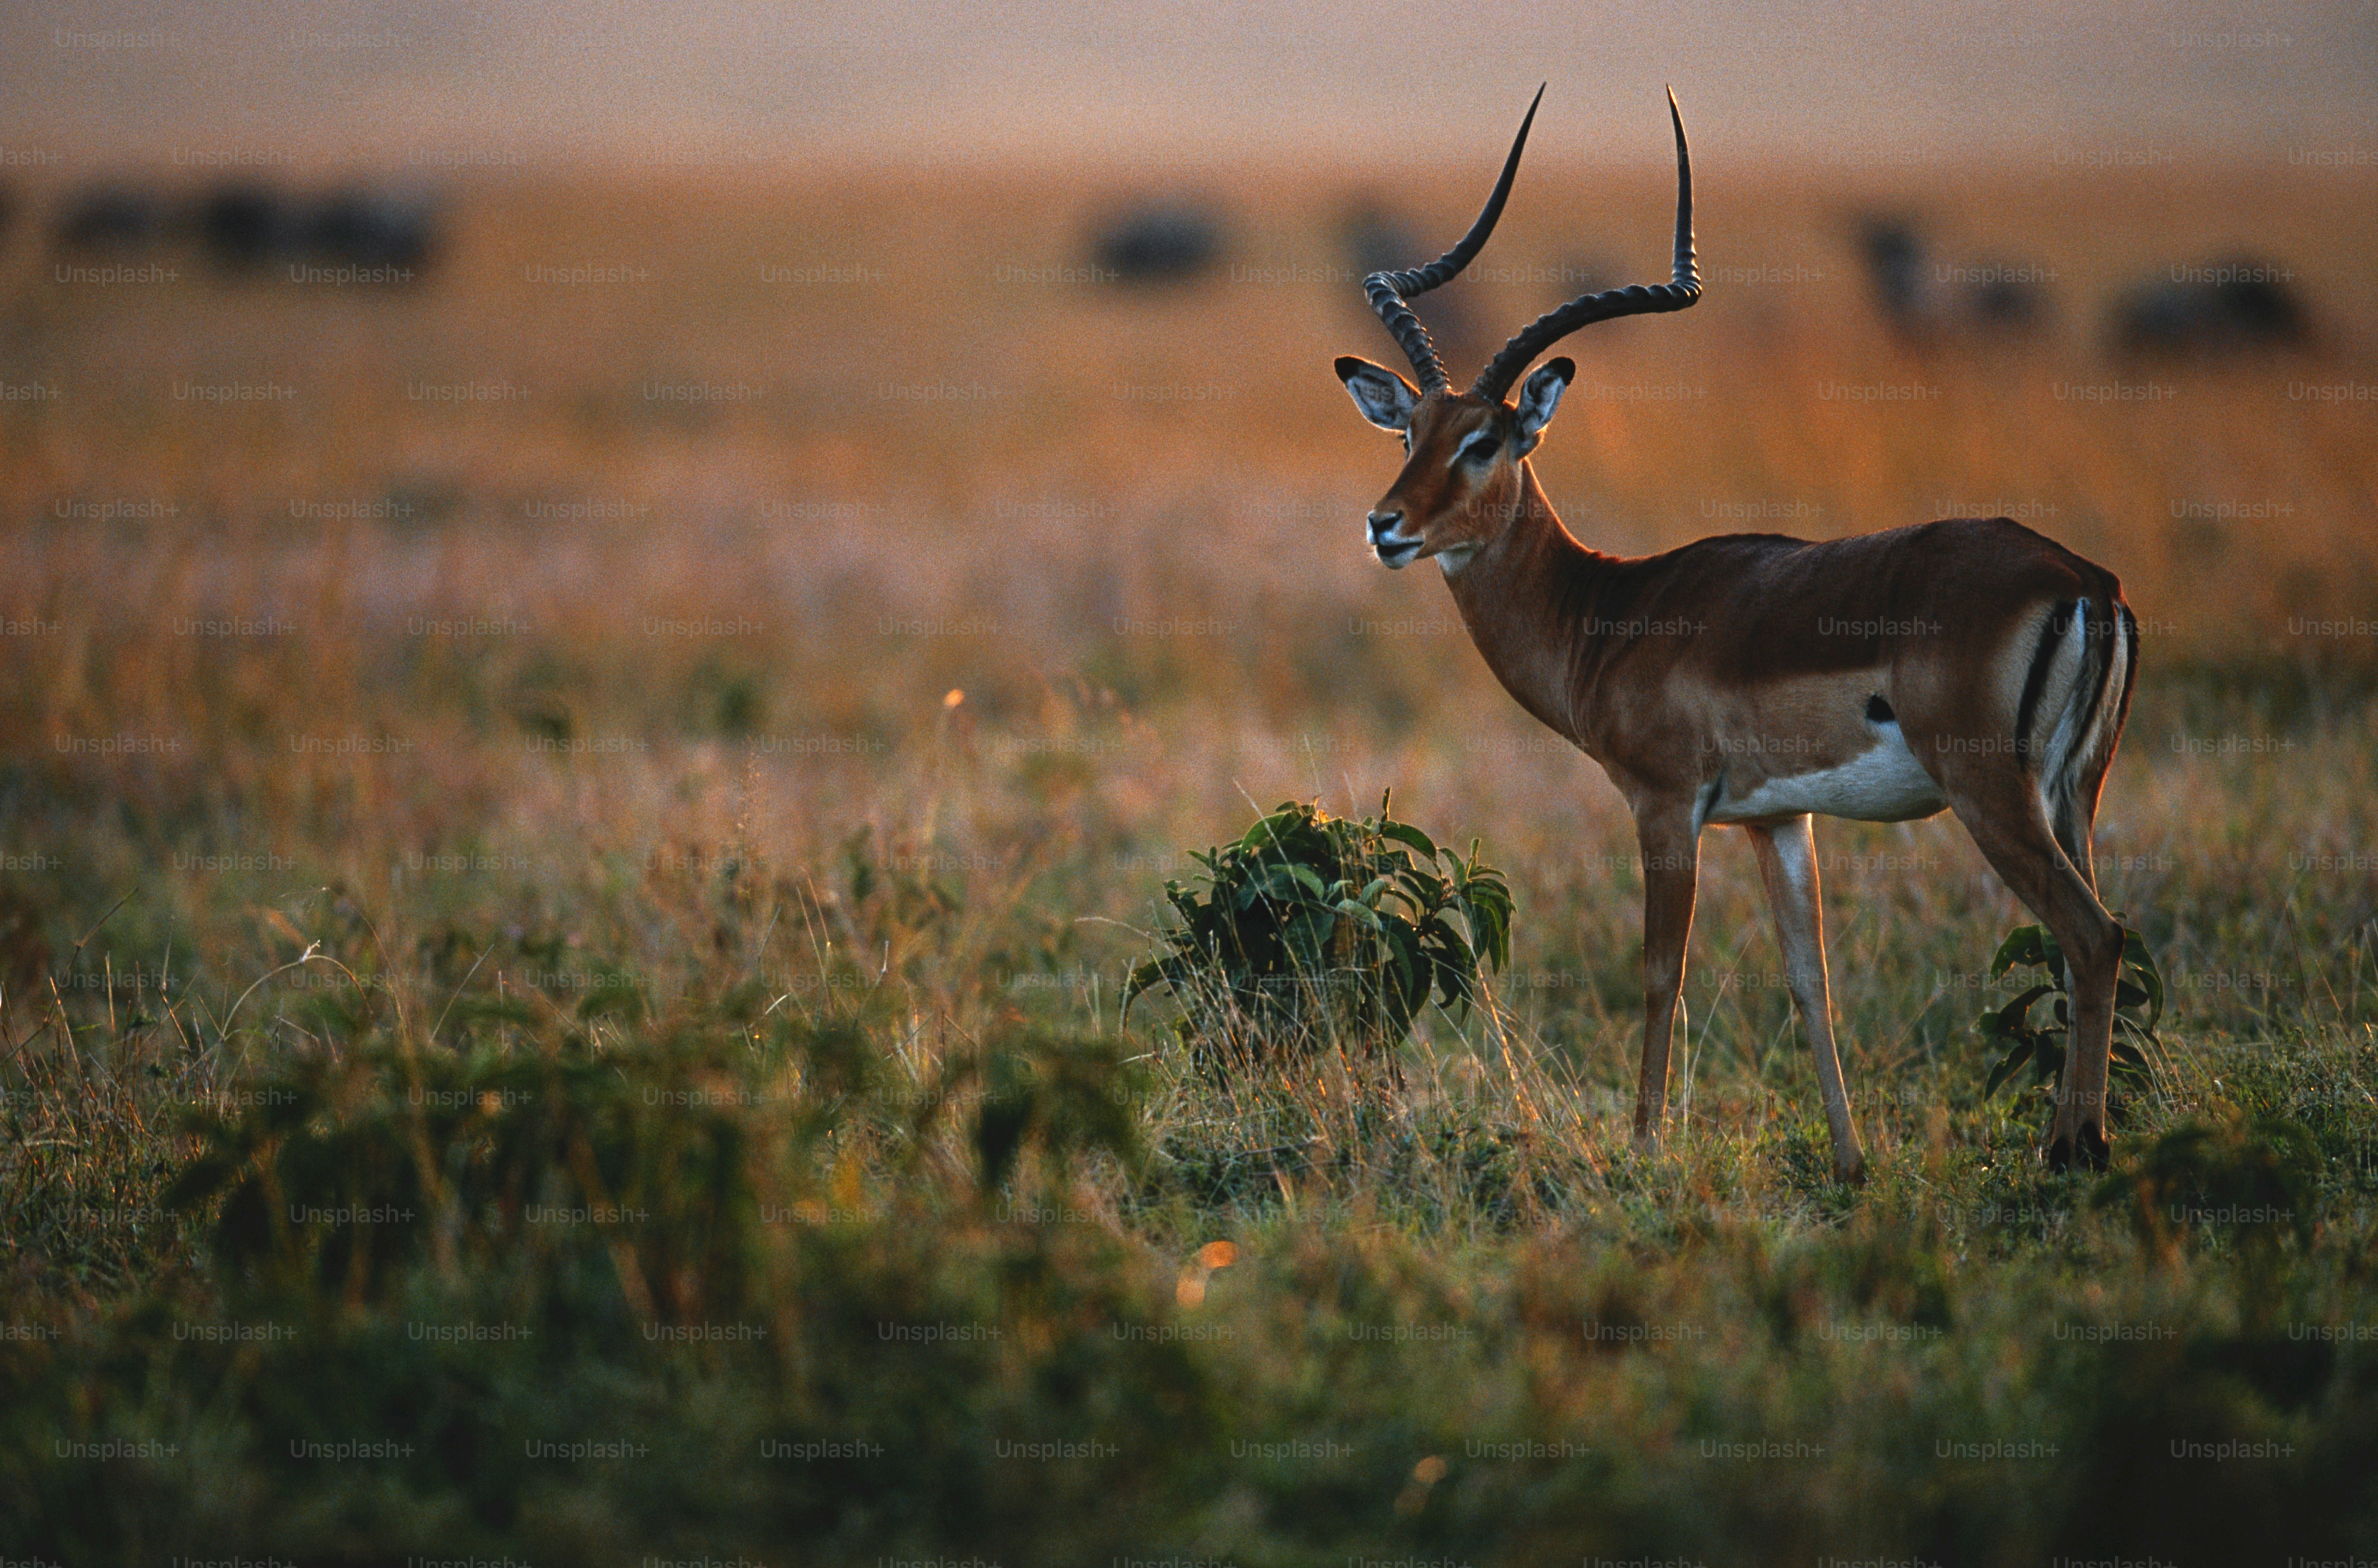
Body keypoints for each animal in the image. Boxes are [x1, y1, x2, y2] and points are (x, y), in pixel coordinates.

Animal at [1334, 88, 2138, 1181]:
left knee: (2093, 935)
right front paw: (1849, 1161)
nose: (1387, 526)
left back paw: (2076, 1149)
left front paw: (1642, 1149)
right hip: (2070, 795)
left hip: (1992, 794)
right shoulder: (1778, 820)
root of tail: (2084, 581)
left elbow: (1659, 972)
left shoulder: (1667, 806)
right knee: (2092, 935)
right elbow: (1810, 979)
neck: (1608, 613)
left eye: (1485, 441)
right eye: (1409, 431)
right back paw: (2076, 1135)